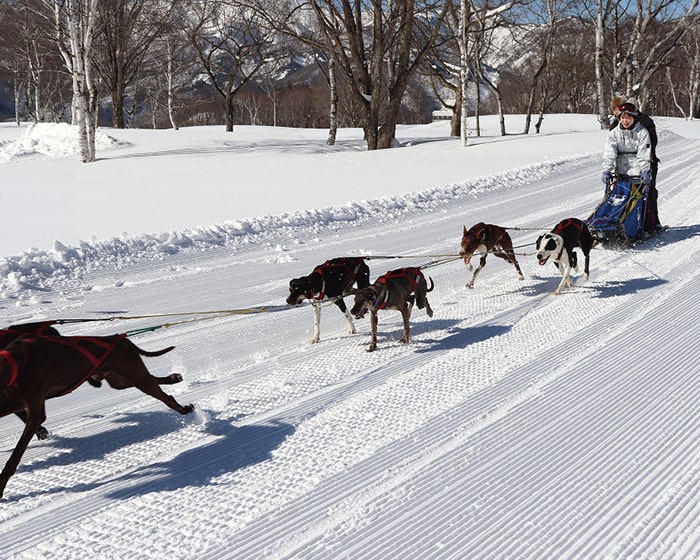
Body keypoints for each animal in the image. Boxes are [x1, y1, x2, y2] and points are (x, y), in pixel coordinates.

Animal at [0, 334, 194, 496]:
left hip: (136, 377)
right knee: (153, 379)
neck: (16, 363)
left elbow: (15, 456)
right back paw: (174, 378)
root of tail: (122, 339)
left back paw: (184, 408)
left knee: (164, 396)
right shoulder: (14, 402)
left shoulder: (35, 413)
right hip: (121, 381)